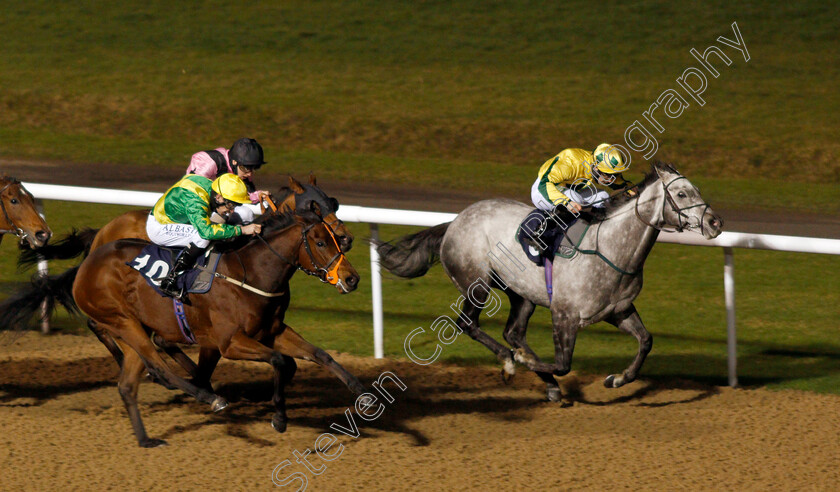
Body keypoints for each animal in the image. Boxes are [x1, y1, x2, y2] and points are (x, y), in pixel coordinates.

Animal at [374, 163, 720, 402]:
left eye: (696, 189)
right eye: (681, 194)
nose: (715, 222)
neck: (611, 248)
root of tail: (454, 223)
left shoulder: (618, 310)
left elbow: (646, 341)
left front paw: (616, 379)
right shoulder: (564, 314)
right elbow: (563, 363)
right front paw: (524, 362)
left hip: (521, 294)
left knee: (513, 331)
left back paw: (544, 381)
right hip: (477, 284)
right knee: (468, 324)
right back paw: (511, 362)